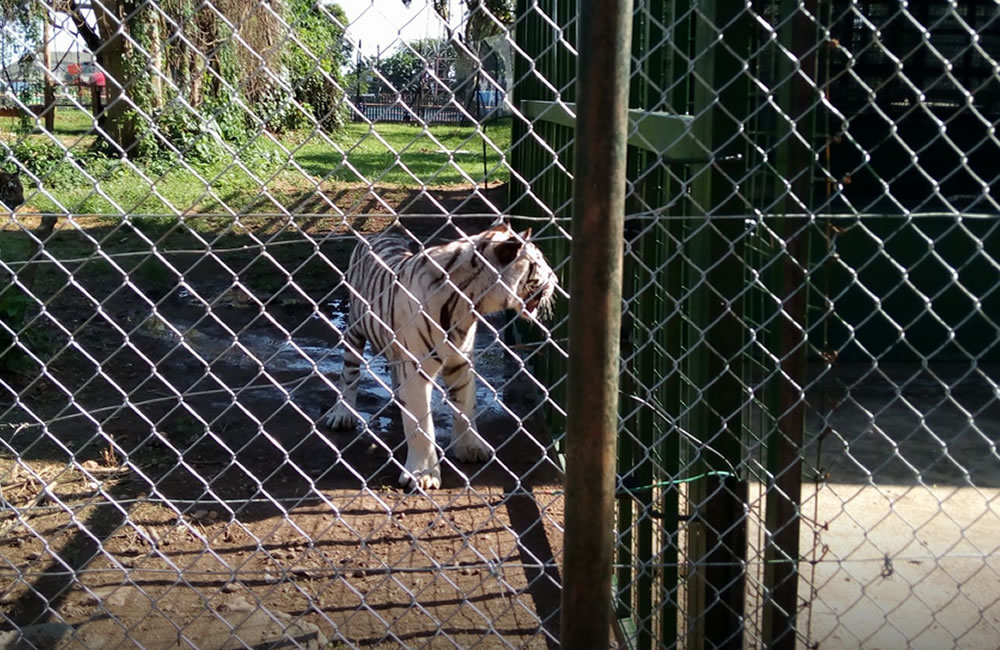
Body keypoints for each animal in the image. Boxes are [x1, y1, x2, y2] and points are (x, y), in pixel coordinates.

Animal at [326, 223, 556, 486]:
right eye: (538, 264)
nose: (557, 280)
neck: (468, 305)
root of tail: (378, 234)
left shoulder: (461, 361)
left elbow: (466, 407)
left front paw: (471, 449)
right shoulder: (416, 368)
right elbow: (421, 425)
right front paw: (422, 474)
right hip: (355, 328)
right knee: (349, 372)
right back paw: (343, 414)